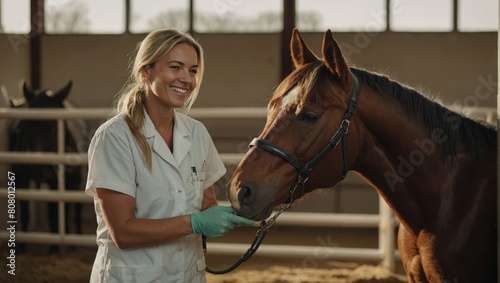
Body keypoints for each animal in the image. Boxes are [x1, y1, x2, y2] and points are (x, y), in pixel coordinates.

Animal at [8, 81, 83, 254]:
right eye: (23, 129)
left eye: (54, 129)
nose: (38, 170)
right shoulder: (21, 178)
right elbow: (24, 211)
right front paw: (21, 246)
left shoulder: (56, 183)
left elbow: (53, 213)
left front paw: (54, 249)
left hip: (75, 181)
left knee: (75, 209)